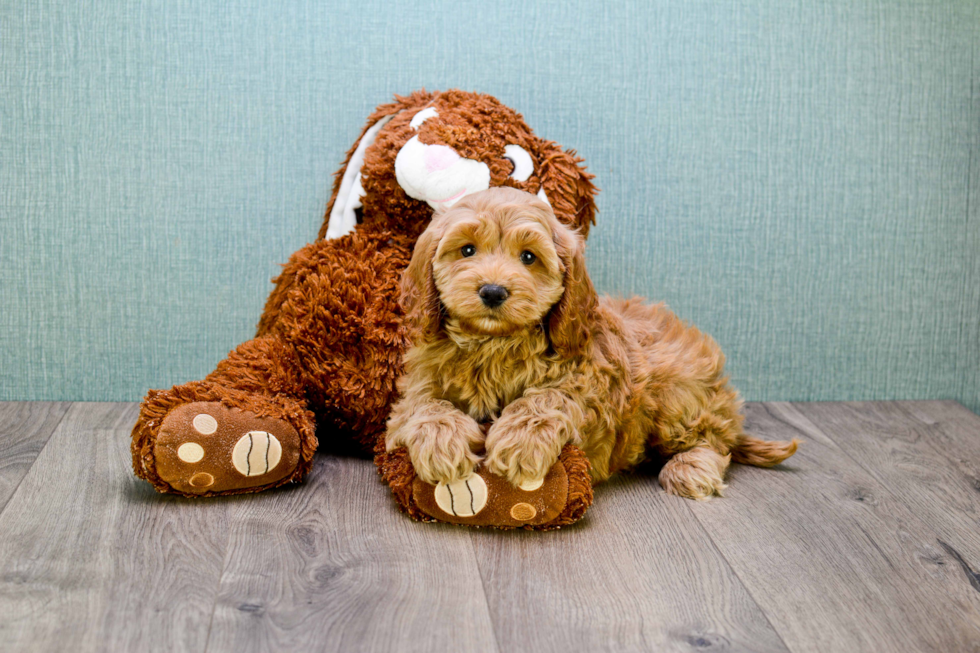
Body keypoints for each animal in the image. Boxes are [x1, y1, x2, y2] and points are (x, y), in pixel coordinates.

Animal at [382, 186, 796, 496]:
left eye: (528, 257)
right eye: (467, 249)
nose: (493, 291)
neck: (492, 343)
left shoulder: (589, 380)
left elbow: (549, 398)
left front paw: (519, 441)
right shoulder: (417, 385)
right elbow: (425, 406)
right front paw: (441, 442)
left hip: (676, 395)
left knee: (713, 438)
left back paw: (690, 468)